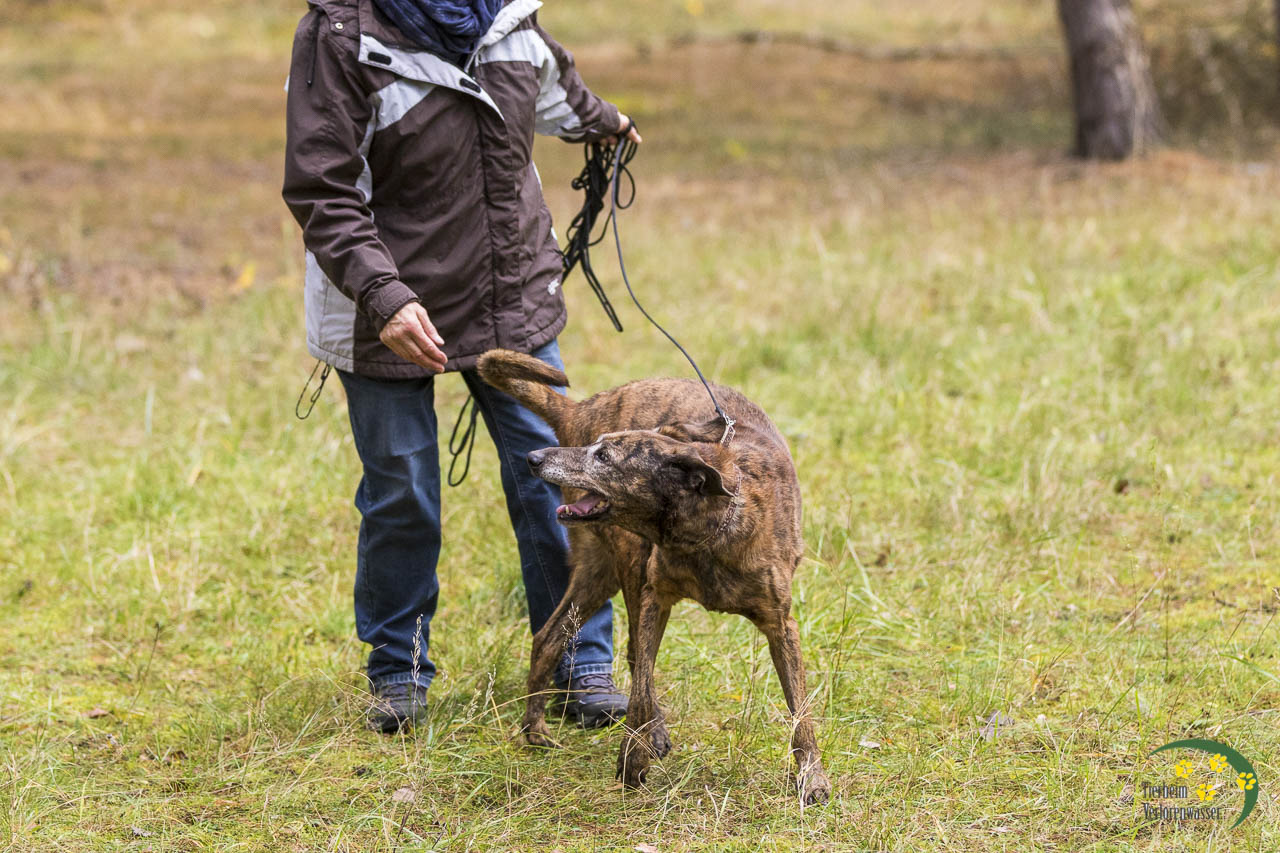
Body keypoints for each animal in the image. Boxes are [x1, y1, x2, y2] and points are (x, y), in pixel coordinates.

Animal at [477, 349, 830, 805]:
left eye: (603, 457)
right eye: (595, 448)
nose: (534, 458)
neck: (708, 529)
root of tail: (579, 410)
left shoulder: (781, 624)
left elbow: (800, 710)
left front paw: (813, 778)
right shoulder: (654, 598)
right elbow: (643, 682)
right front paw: (635, 757)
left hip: (599, 572)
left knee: (548, 636)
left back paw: (534, 730)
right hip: (628, 562)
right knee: (627, 654)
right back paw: (643, 732)